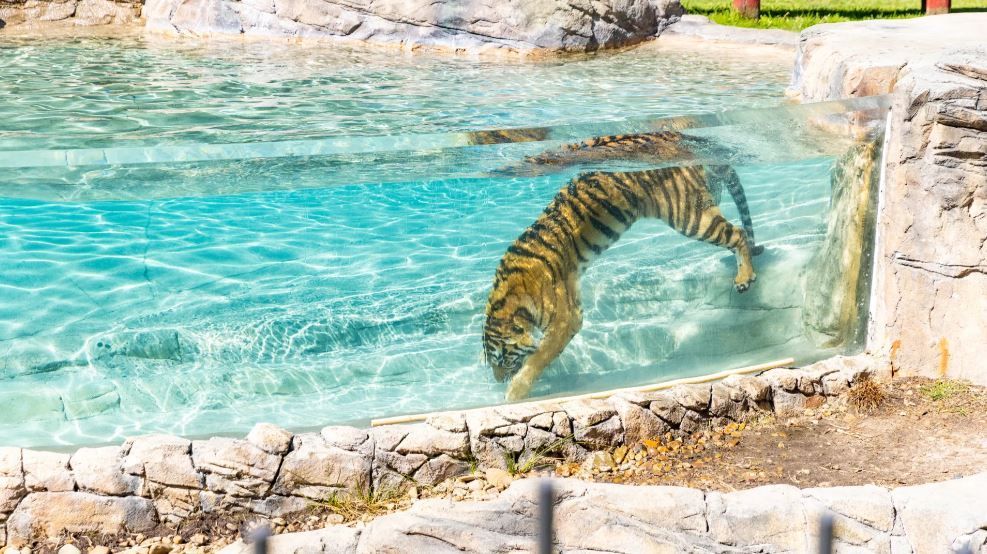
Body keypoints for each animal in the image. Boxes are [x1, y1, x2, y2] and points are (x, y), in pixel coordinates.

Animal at [483, 166, 760, 401]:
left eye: (502, 358)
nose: (497, 380)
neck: (509, 300)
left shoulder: (566, 318)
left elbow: (539, 357)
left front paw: (514, 393)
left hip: (690, 217)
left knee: (737, 233)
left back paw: (744, 277)